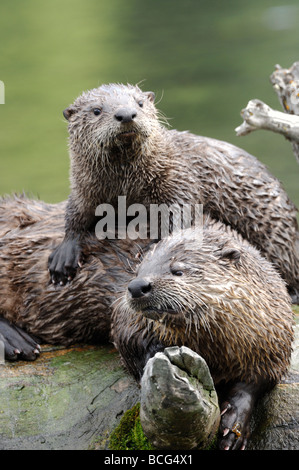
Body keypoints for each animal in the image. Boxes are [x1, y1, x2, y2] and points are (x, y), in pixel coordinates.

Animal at [0, 196, 296, 452]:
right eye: (139, 267)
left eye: (178, 270)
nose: (137, 286)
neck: (217, 349)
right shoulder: (125, 315)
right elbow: (127, 339)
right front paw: (155, 358)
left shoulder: (273, 338)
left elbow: (256, 383)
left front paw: (234, 426)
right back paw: (18, 343)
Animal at [48, 83, 299, 304]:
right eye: (96, 110)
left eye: (139, 103)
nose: (126, 114)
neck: (126, 185)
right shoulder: (84, 187)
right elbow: (75, 213)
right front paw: (64, 255)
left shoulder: (178, 177)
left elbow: (179, 213)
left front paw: (150, 250)